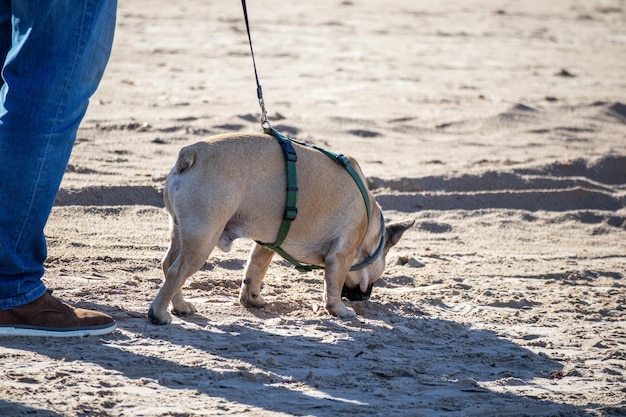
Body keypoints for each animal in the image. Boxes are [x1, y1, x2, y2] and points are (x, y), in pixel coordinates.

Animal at [147, 132, 414, 324]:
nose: (366, 296)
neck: (370, 228)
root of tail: (191, 154)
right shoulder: (342, 254)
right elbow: (333, 287)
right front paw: (340, 310)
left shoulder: (267, 244)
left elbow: (254, 271)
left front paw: (252, 299)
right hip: (203, 238)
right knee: (177, 271)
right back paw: (159, 314)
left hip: (182, 232)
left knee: (168, 264)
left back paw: (180, 306)